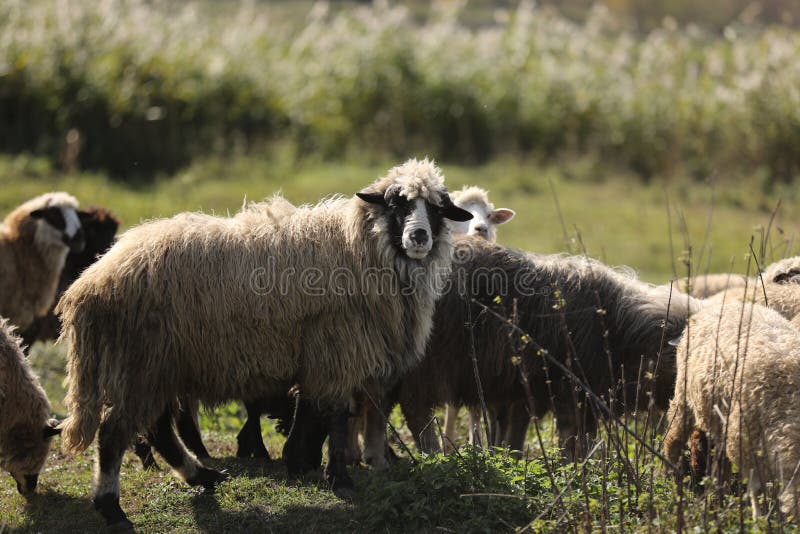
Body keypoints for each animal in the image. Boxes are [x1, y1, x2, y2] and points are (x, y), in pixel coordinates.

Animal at [56, 158, 472, 528]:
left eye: (437, 209)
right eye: (395, 204)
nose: (418, 237)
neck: (359, 247)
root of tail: (90, 283)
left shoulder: (321, 357)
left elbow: (313, 410)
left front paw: (300, 462)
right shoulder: (336, 352)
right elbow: (337, 418)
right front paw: (339, 478)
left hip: (158, 364)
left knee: (158, 428)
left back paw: (201, 477)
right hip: (140, 361)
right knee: (114, 433)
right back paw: (113, 509)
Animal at [664, 304, 800, 520]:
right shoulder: (744, 445)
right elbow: (756, 489)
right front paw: (759, 518)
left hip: (720, 421)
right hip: (684, 397)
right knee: (673, 438)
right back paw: (672, 477)